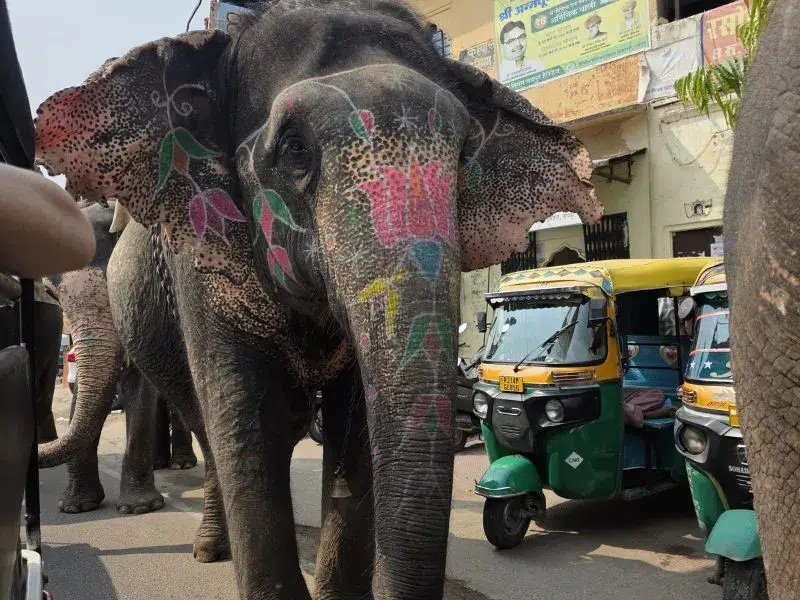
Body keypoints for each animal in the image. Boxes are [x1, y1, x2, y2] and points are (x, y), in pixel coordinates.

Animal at [33, 1, 601, 597]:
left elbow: (357, 427)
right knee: (212, 432)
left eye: (467, 150)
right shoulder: (201, 259)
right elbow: (244, 423)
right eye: (295, 149)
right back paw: (206, 547)